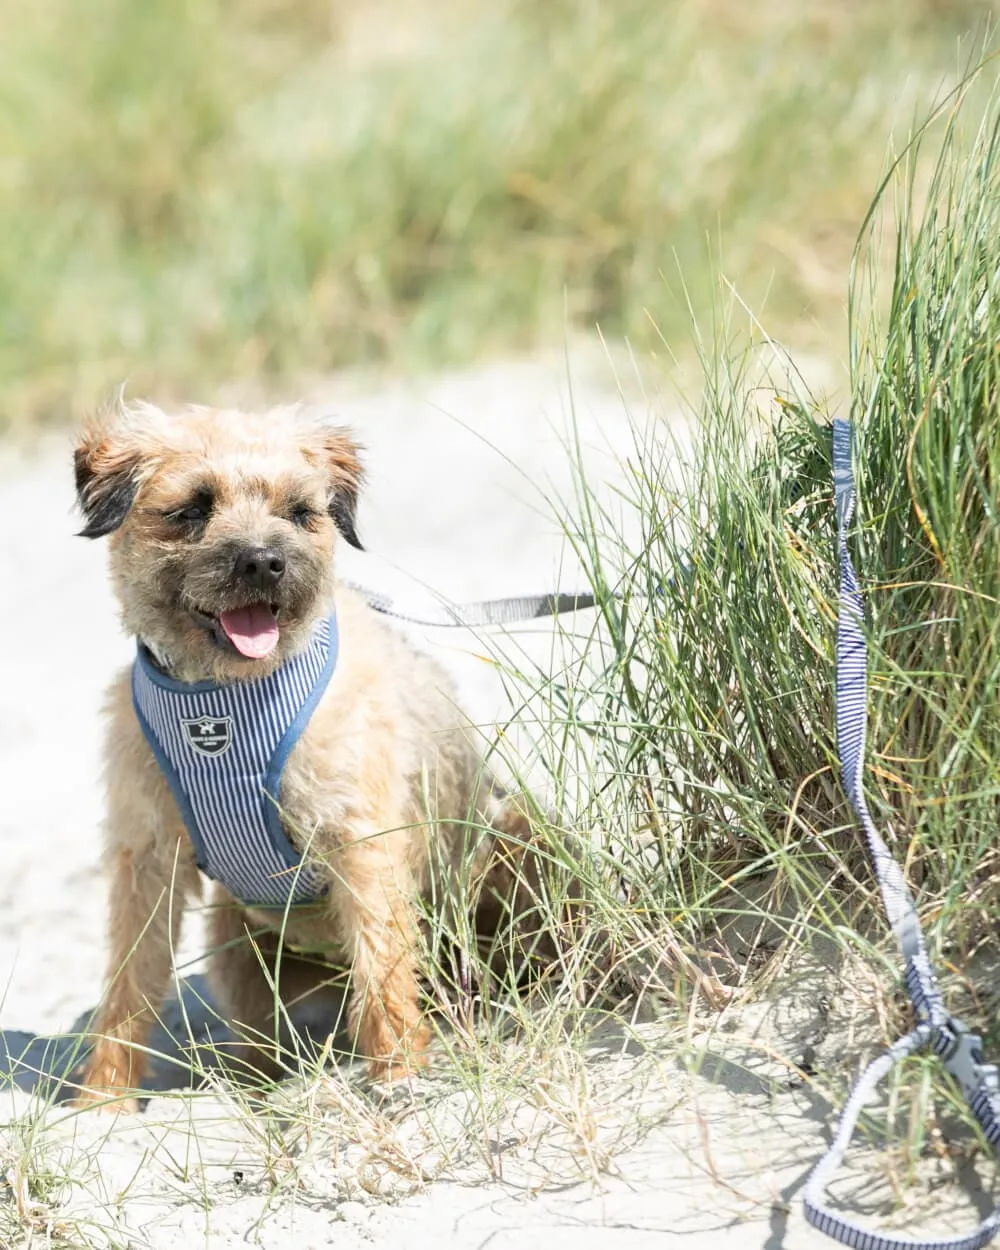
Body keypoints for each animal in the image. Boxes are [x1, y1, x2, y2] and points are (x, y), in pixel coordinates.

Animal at [74, 397, 550, 1105]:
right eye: (191, 509)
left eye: (300, 512)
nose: (264, 562)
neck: (222, 704)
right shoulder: (149, 862)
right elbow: (129, 984)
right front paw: (103, 1100)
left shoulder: (361, 844)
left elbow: (382, 964)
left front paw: (398, 1073)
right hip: (235, 942)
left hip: (520, 844)